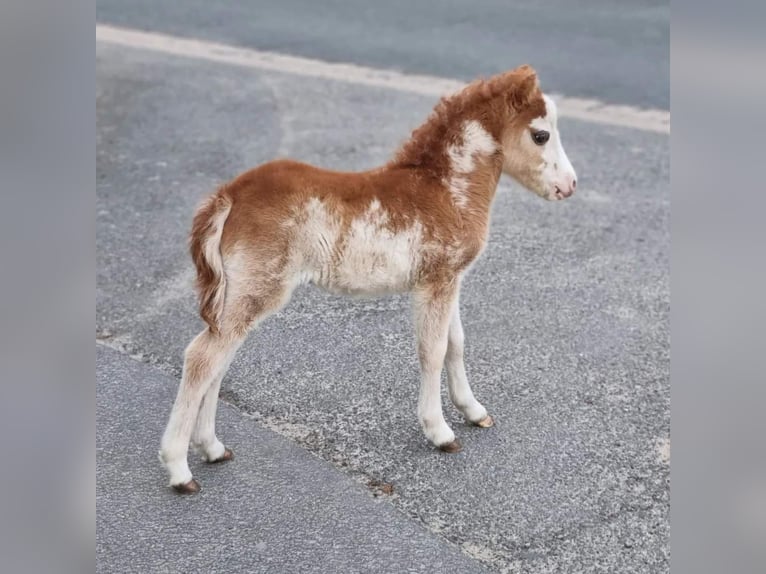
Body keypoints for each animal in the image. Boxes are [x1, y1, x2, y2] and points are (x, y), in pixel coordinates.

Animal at [160, 65, 576, 492]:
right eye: (540, 135)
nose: (570, 185)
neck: (445, 189)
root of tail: (229, 196)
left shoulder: (449, 279)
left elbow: (456, 343)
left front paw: (474, 411)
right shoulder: (434, 283)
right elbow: (432, 350)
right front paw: (440, 432)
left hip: (239, 292)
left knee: (220, 358)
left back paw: (212, 448)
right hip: (256, 288)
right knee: (202, 358)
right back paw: (179, 469)